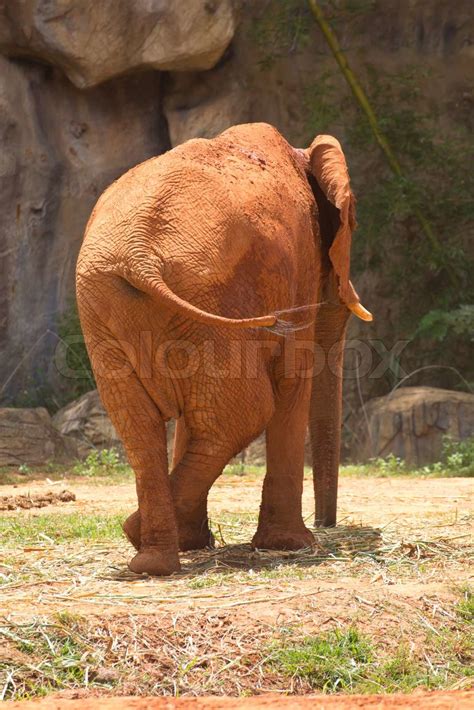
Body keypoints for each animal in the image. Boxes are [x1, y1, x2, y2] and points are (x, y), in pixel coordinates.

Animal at [76, 124, 370, 580]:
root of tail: (138, 256)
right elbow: (293, 376)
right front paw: (292, 545)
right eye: (351, 224)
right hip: (208, 298)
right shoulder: (299, 265)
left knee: (141, 423)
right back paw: (147, 542)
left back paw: (149, 556)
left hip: (113, 307)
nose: (328, 524)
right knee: (243, 414)